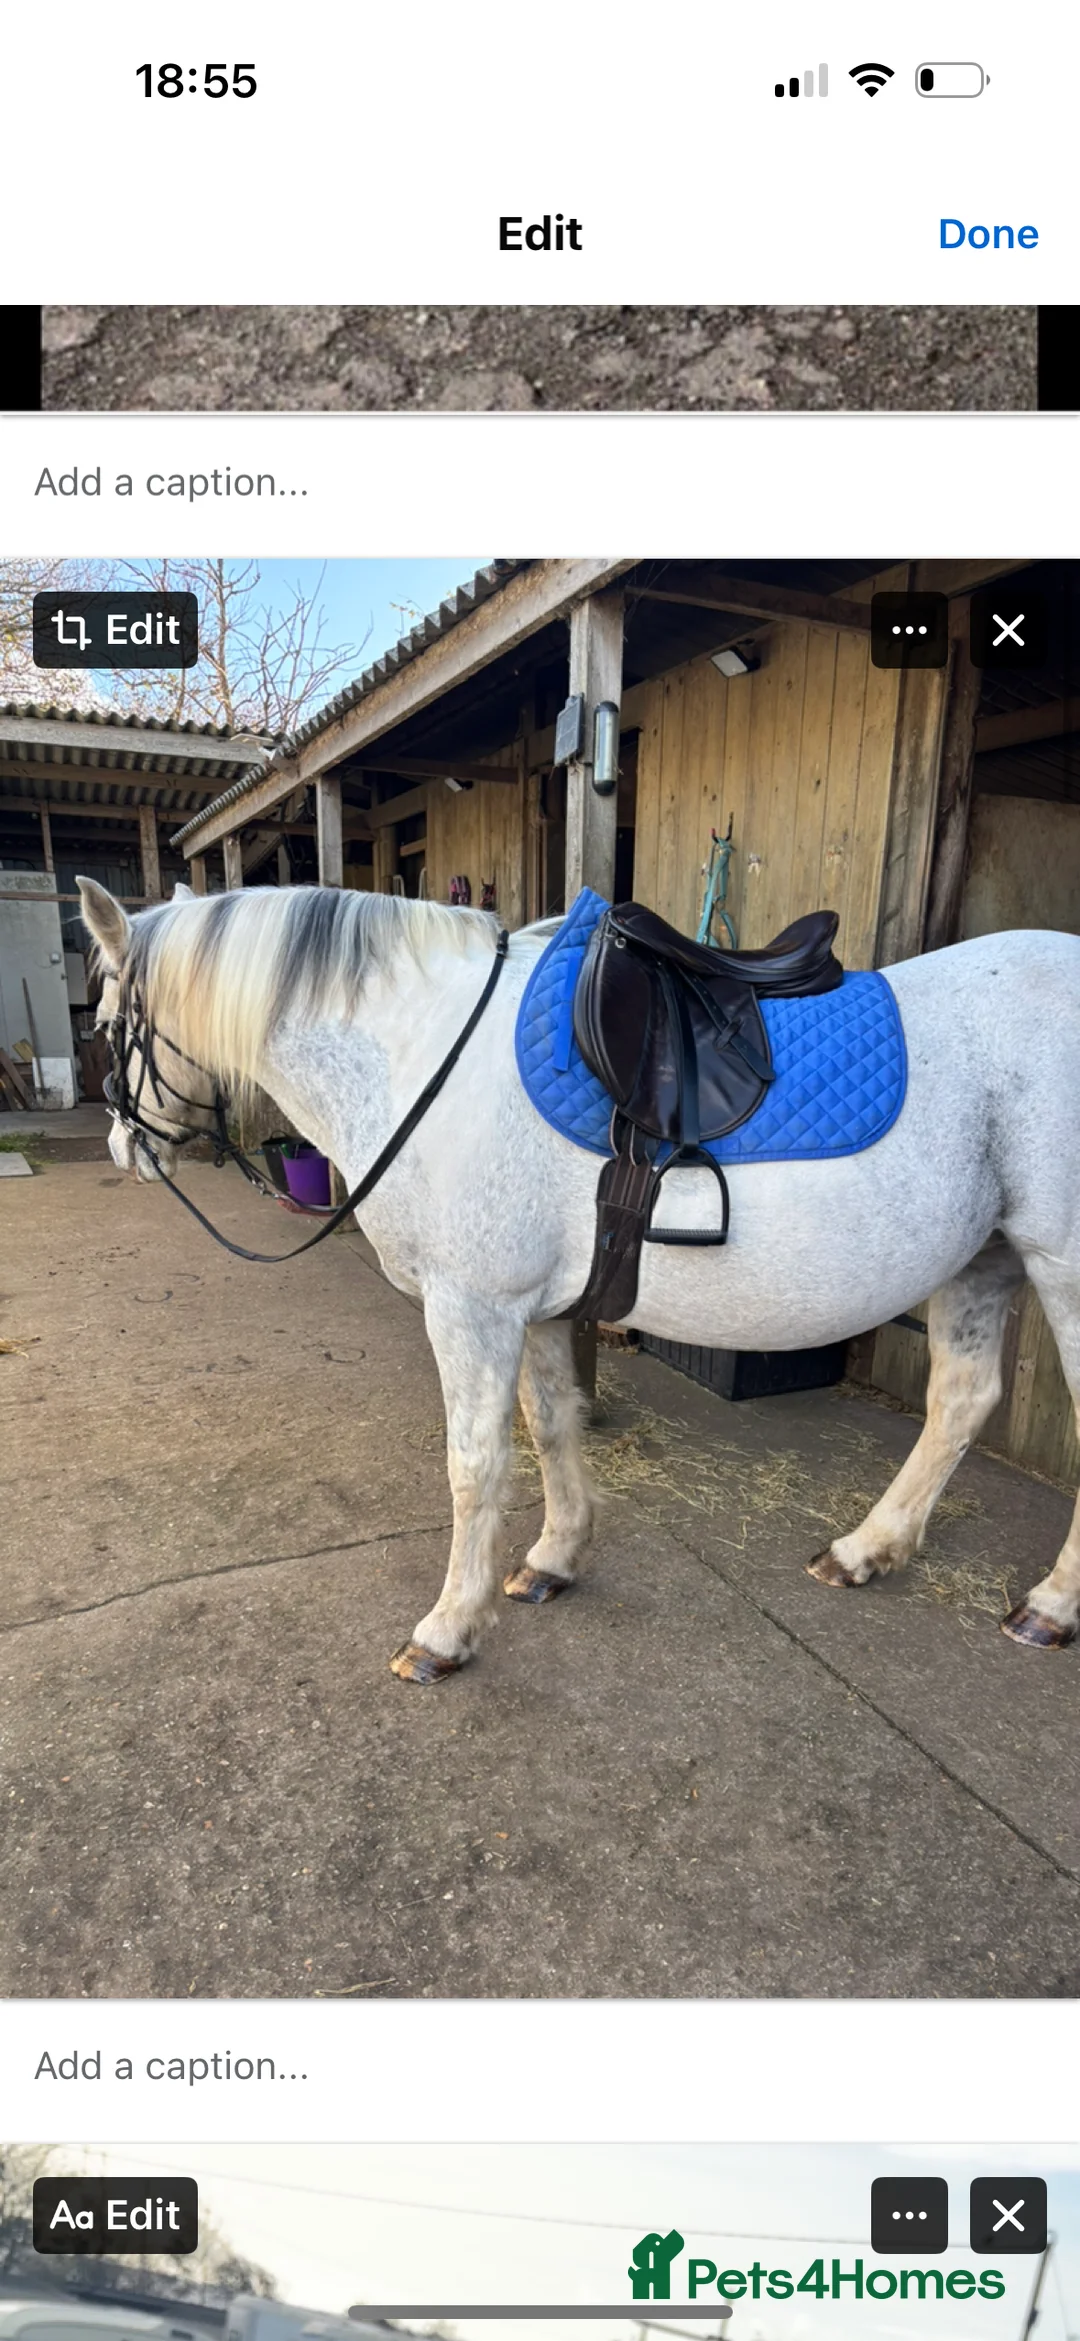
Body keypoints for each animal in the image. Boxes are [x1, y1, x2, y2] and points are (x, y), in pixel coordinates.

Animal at [78, 872, 1080, 1678]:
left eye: (107, 1025)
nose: (124, 1148)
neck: (424, 1051)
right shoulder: (540, 1310)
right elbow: (553, 1424)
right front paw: (553, 1559)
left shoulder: (471, 1310)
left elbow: (475, 1464)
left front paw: (448, 1629)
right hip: (983, 1256)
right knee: (960, 1399)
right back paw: (869, 1548)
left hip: (1060, 1268)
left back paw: (1049, 1607)